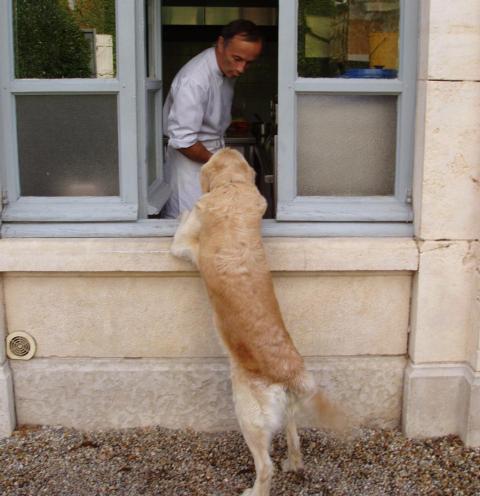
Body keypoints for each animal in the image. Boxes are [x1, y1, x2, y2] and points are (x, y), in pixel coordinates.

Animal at [171, 148, 344, 496]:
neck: (233, 187)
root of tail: (291, 372)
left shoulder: (182, 245)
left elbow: (182, 227)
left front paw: (180, 212)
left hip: (246, 411)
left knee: (265, 467)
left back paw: (255, 489)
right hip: (286, 410)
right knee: (293, 436)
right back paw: (294, 464)